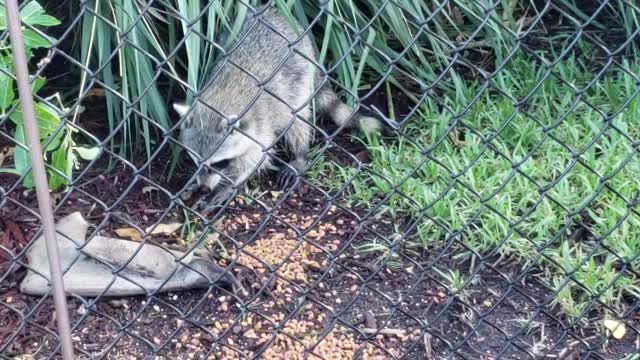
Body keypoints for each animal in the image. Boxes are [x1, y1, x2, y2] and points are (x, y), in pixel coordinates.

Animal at [174, 6, 380, 208]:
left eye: (219, 163)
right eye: (196, 162)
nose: (204, 189)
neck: (220, 99)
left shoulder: (259, 127)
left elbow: (256, 159)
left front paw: (230, 184)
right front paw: (196, 182)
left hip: (299, 78)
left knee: (297, 120)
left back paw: (299, 155)